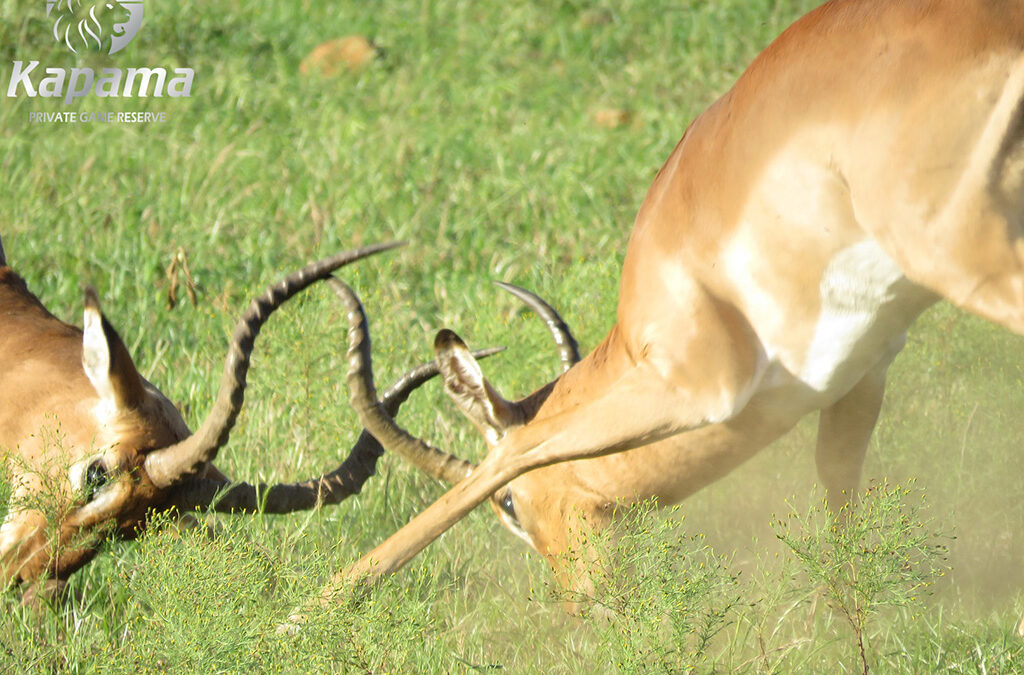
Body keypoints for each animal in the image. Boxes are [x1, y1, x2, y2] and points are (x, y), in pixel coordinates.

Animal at [295, 0, 1024, 629]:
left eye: (512, 510)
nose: (582, 606)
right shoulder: (860, 373)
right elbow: (840, 499)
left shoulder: (692, 384)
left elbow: (516, 451)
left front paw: (307, 613)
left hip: (964, 254)